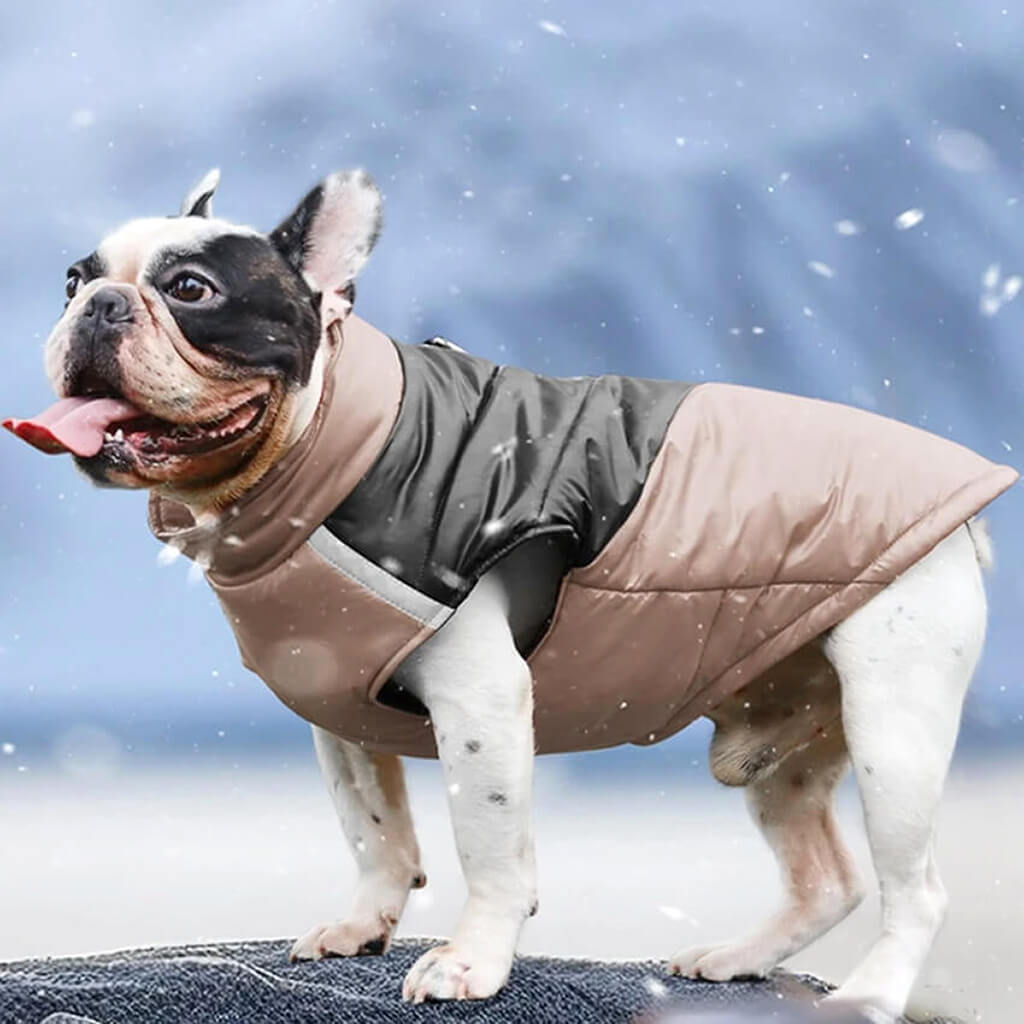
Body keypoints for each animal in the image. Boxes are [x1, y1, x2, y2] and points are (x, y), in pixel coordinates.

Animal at [6, 167, 1015, 1015]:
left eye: (191, 291)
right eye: (72, 279)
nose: (96, 304)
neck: (326, 446)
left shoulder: (480, 703)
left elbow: (486, 849)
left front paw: (469, 964)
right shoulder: (337, 707)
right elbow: (376, 831)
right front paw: (363, 924)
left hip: (894, 725)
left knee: (917, 887)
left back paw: (871, 993)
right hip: (788, 740)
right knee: (825, 875)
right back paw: (738, 958)